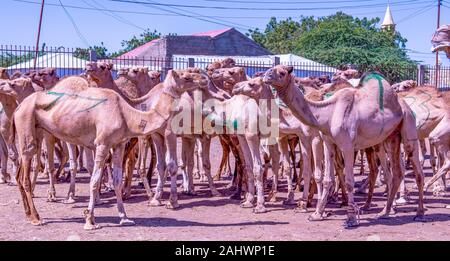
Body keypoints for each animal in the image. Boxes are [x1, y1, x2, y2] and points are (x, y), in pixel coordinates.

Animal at [7, 64, 207, 228]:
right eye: (186, 76)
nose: (204, 78)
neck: (127, 114)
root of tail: (18, 107)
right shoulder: (102, 144)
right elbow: (94, 180)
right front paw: (90, 220)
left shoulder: (118, 144)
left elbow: (117, 180)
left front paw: (124, 217)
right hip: (27, 128)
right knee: (25, 174)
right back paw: (36, 218)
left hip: (36, 130)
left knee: (19, 175)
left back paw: (28, 215)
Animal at [262, 64, 424, 225]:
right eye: (272, 68)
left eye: (282, 73)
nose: (266, 75)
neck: (328, 113)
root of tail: (403, 104)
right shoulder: (328, 143)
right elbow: (327, 179)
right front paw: (317, 213)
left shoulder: (347, 145)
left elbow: (349, 181)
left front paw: (351, 217)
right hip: (391, 137)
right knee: (397, 173)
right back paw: (385, 212)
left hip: (408, 128)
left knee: (417, 172)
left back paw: (419, 213)